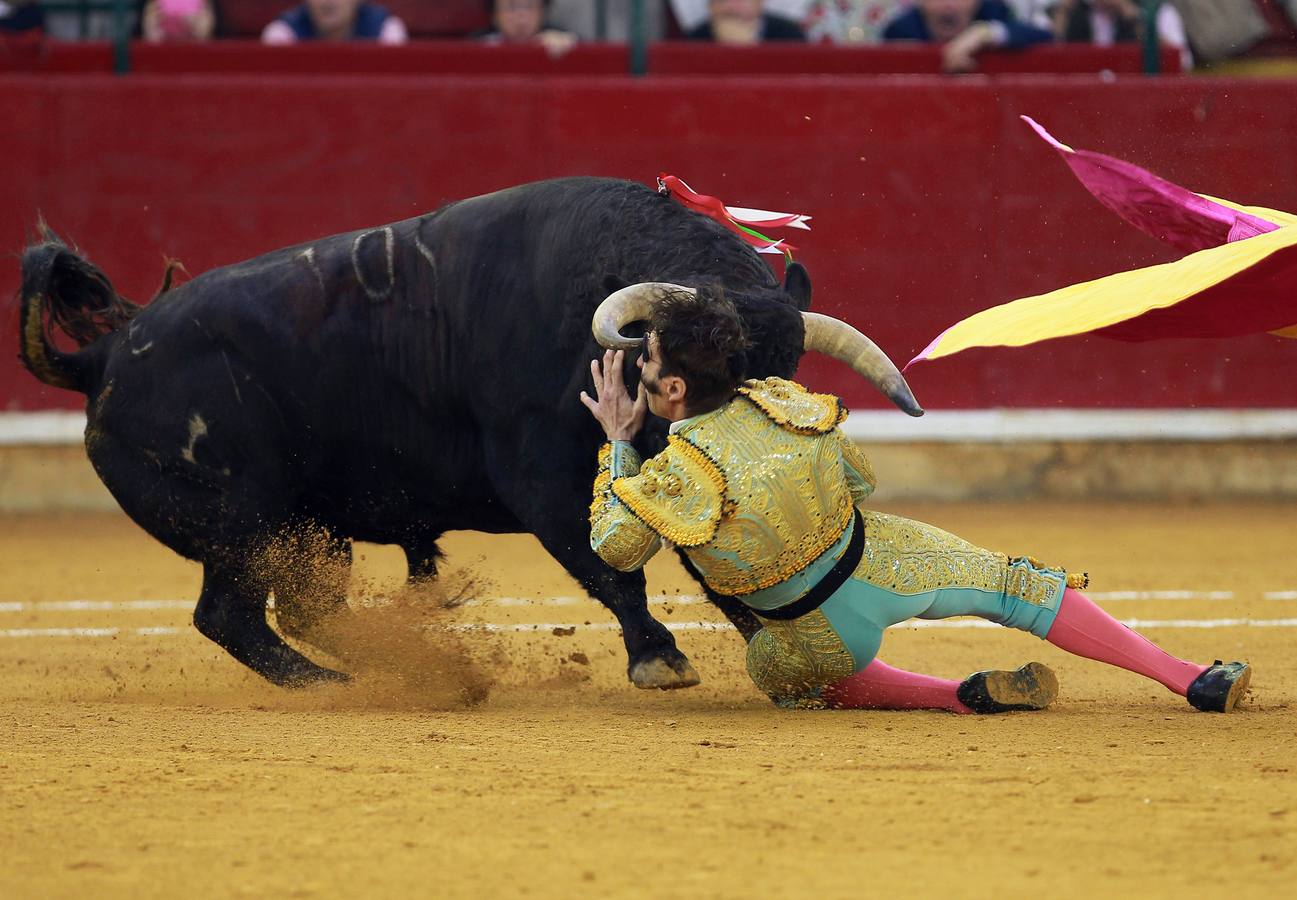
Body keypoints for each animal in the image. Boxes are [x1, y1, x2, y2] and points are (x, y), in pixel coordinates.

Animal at [20, 176, 887, 689]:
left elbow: (716, 569)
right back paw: (332, 683)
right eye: (706, 374)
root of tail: (103, 356)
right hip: (245, 524)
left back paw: (402, 664)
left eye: (787, 364)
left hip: (306, 528)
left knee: (300, 609)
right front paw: (658, 658)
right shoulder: (543, 479)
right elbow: (610, 572)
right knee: (228, 615)